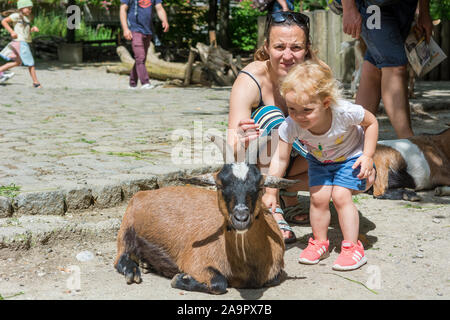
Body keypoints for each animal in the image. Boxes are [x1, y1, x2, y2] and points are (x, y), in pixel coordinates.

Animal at [113, 134, 296, 294]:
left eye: (259, 186)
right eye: (219, 185)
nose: (241, 218)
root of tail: (142, 194)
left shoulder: (276, 270)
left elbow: (275, 278)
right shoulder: (196, 262)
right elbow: (219, 283)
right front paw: (180, 278)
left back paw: (146, 264)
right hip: (127, 230)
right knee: (120, 257)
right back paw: (133, 272)